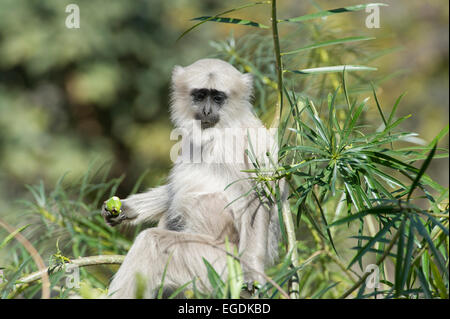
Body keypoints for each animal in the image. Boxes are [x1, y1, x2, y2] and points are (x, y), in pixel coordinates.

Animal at [103, 58, 284, 300]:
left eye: (217, 98)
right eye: (200, 95)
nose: (207, 111)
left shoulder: (242, 144)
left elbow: (255, 199)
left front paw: (252, 273)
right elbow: (172, 191)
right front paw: (125, 209)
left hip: (216, 263)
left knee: (151, 242)